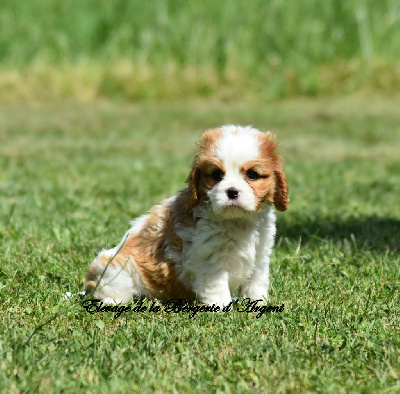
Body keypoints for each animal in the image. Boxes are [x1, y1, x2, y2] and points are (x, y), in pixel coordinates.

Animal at [85, 126, 288, 308]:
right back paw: (112, 302)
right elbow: (217, 287)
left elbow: (256, 284)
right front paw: (222, 308)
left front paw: (259, 304)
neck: (237, 220)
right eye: (217, 175)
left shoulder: (260, 255)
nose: (232, 191)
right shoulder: (210, 260)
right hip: (119, 270)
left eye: (252, 174)